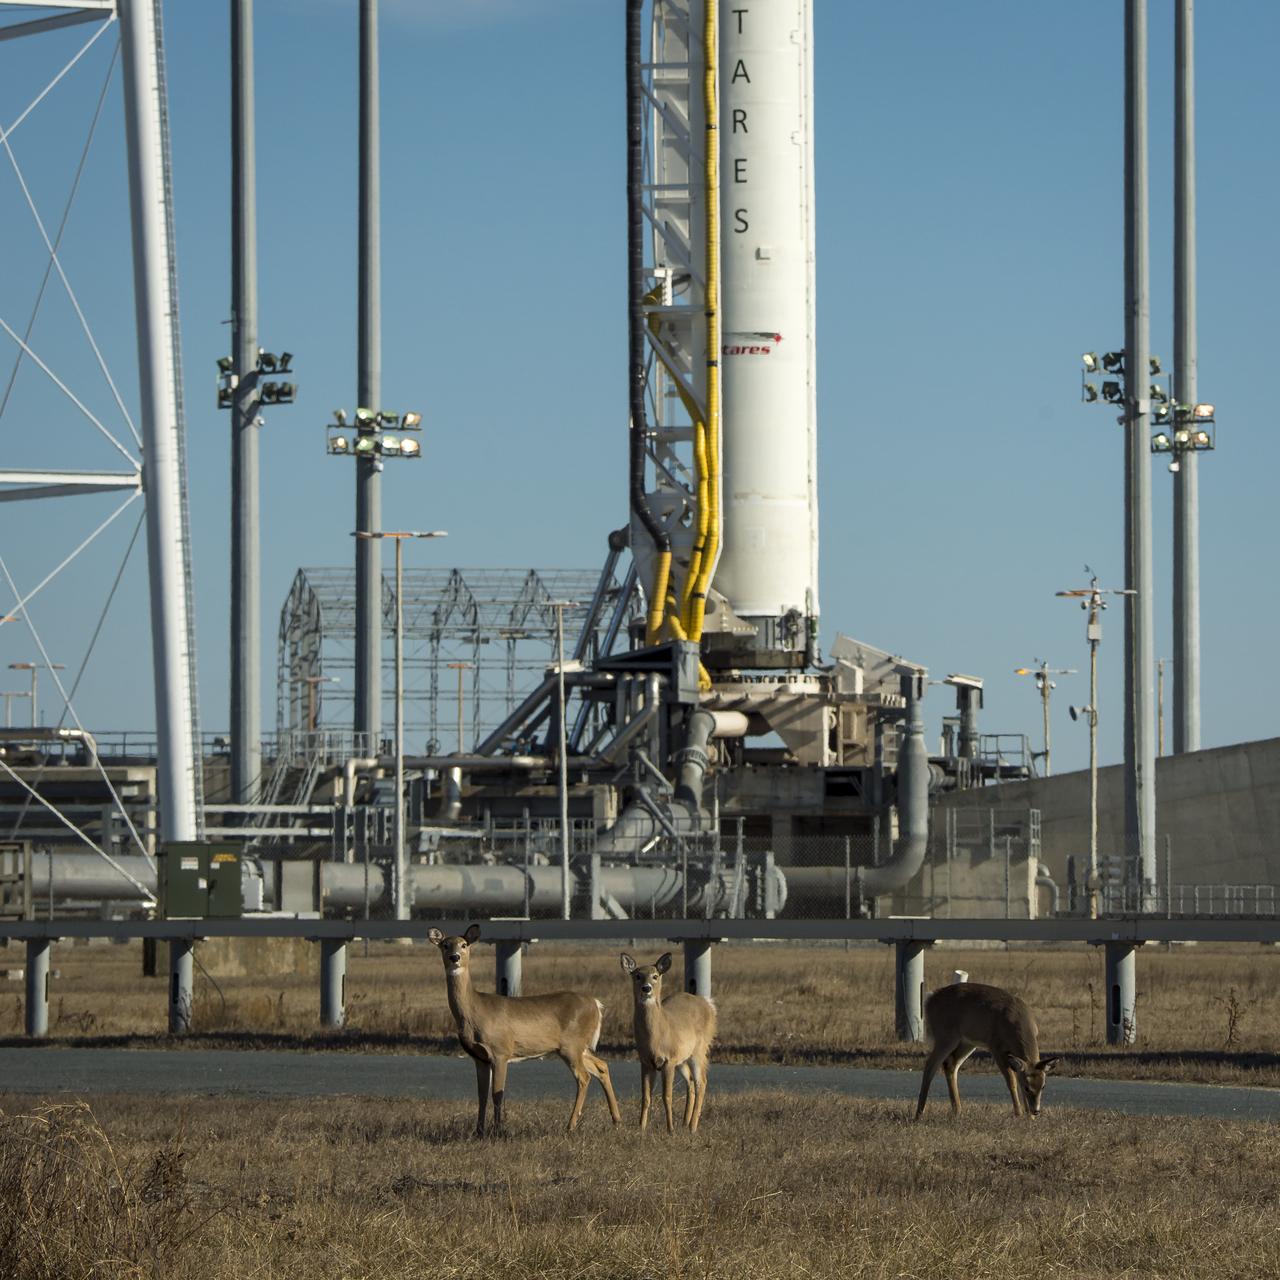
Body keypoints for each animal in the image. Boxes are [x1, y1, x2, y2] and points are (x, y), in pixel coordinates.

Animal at [427, 924, 622, 1136]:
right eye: (445, 945)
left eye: (464, 944)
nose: (454, 957)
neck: (475, 1011)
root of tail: (596, 1004)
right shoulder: (479, 1057)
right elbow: (481, 1095)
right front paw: (478, 1131)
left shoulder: (500, 1051)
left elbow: (497, 1094)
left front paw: (497, 1130)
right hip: (579, 1047)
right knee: (602, 1066)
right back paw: (616, 1120)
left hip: (571, 1046)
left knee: (584, 1077)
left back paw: (570, 1125)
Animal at [620, 952, 716, 1133]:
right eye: (637, 975)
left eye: (655, 976)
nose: (646, 988)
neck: (656, 1038)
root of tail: (709, 1006)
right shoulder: (646, 1062)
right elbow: (646, 1096)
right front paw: (641, 1128)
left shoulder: (668, 1061)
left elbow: (667, 1096)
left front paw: (670, 1129)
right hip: (683, 1059)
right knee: (690, 1082)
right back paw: (685, 1123)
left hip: (699, 1051)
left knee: (701, 1082)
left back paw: (692, 1127)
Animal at [914, 980, 1060, 1120]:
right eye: (1027, 1087)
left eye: (1043, 1086)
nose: (1036, 1111)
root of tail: (929, 999)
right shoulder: (996, 1047)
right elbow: (1011, 1081)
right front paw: (1019, 1114)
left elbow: (1017, 1076)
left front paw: (1030, 1118)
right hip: (946, 1035)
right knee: (930, 1065)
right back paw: (919, 1114)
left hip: (967, 1042)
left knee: (950, 1065)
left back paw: (958, 1111)